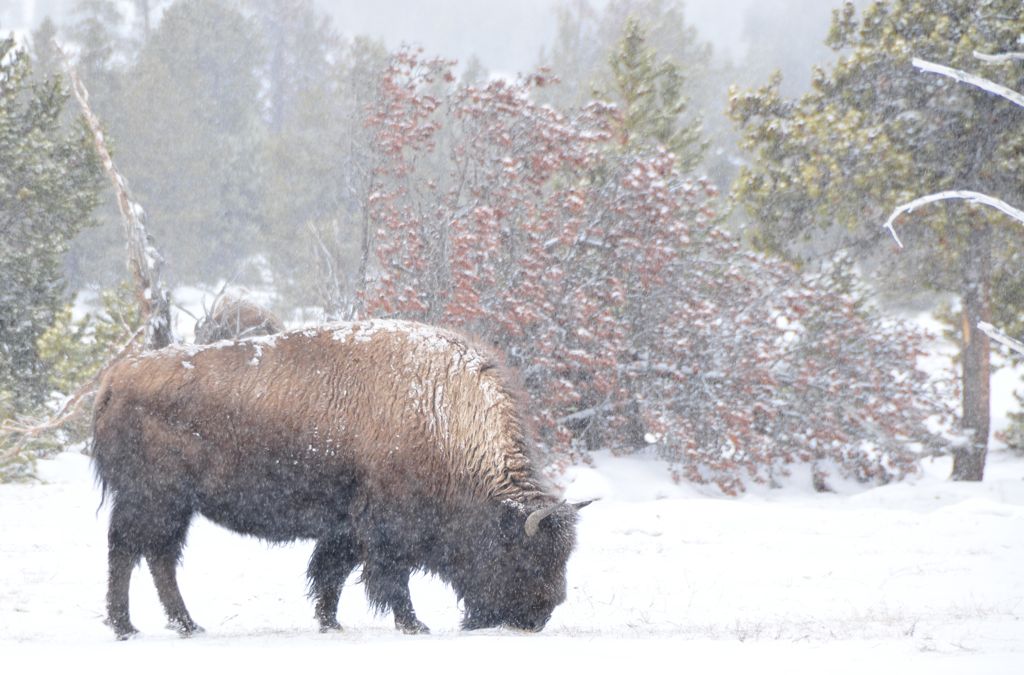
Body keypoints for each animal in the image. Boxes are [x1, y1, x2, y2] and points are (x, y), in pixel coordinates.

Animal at [91, 319, 590, 639]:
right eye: (525, 557)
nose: (539, 616)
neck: (443, 420)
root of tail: (115, 377)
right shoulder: (386, 533)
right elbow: (388, 580)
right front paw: (414, 624)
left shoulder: (346, 529)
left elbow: (330, 573)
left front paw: (330, 622)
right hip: (155, 501)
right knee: (132, 553)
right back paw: (138, 626)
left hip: (168, 506)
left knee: (150, 556)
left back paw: (173, 625)